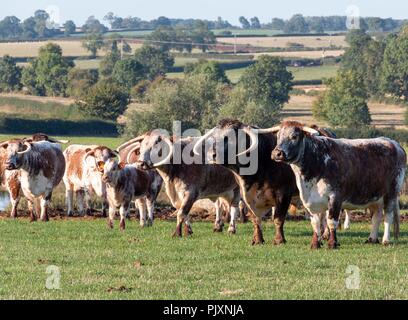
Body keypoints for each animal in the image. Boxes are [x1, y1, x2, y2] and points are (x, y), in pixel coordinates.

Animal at [270, 120, 406, 248]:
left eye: (294, 136)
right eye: (278, 136)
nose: (277, 153)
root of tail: (393, 143)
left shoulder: (335, 197)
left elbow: (331, 221)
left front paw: (332, 243)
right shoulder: (309, 201)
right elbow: (315, 223)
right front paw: (315, 244)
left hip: (391, 193)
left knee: (388, 216)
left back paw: (386, 240)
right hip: (375, 197)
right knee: (376, 216)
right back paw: (372, 239)